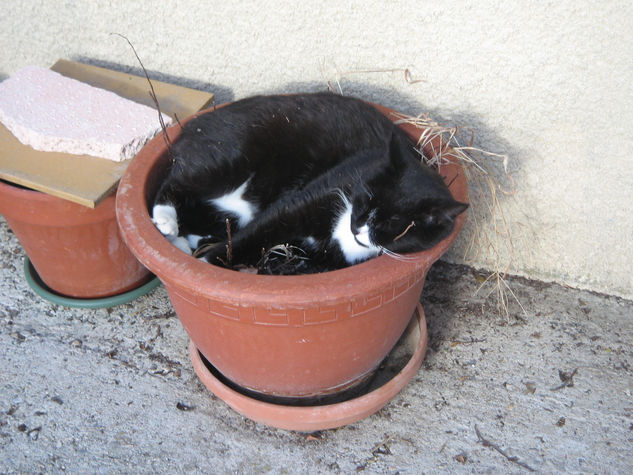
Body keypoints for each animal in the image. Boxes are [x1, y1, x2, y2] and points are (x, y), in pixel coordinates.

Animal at [149, 92, 464, 274]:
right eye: (365, 196)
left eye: (391, 224)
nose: (357, 226)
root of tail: (192, 125)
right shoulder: (303, 201)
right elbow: (258, 232)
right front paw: (206, 265)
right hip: (230, 156)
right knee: (178, 181)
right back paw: (166, 220)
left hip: (230, 210)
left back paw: (180, 239)